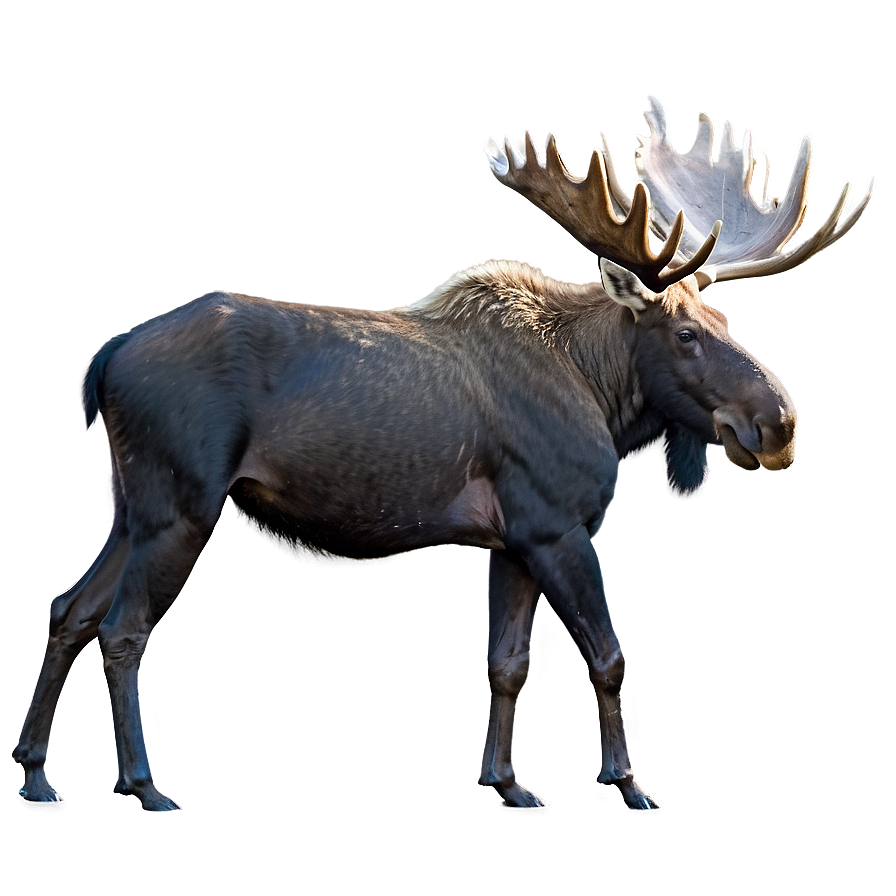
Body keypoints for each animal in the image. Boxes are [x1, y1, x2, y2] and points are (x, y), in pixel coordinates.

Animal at [14, 96, 873, 812]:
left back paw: (34, 771)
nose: (779, 423)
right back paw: (141, 785)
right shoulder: (555, 526)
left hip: (134, 509)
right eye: (686, 333)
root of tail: (109, 356)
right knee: (121, 630)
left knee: (66, 610)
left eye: (725, 321)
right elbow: (608, 657)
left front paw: (508, 782)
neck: (598, 390)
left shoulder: (513, 541)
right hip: (182, 508)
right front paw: (628, 783)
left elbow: (507, 664)